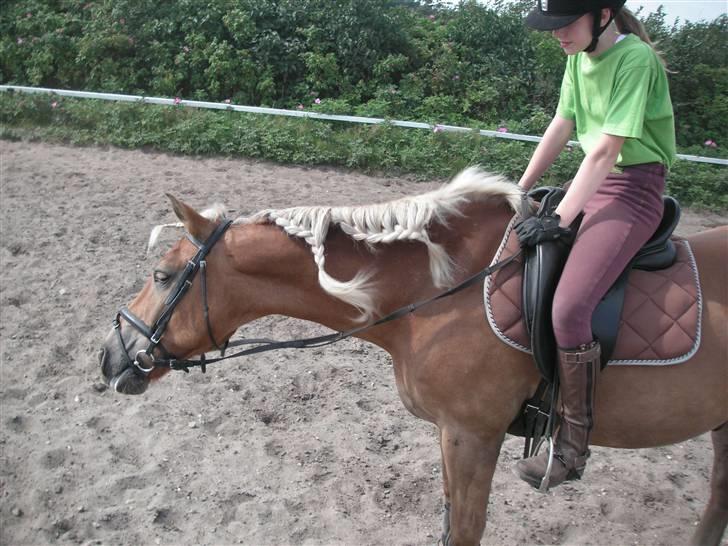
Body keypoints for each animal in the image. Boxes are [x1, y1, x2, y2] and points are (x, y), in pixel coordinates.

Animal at [101, 169, 728, 544]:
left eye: (162, 276)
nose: (111, 355)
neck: (436, 293)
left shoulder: (473, 435)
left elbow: (466, 530)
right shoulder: (451, 435)